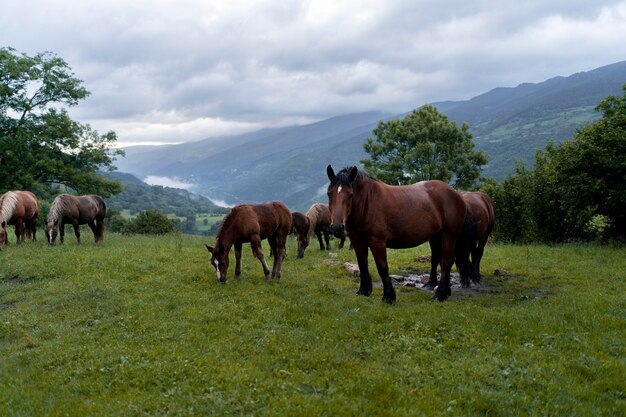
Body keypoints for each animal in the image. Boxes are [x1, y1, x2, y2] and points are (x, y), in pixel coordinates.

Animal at [326, 165, 468, 302]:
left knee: (447, 262)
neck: (367, 203)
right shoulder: (357, 241)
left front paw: (388, 296)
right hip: (437, 236)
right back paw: (446, 292)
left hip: (449, 235)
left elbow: (382, 268)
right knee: (444, 261)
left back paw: (440, 294)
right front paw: (364, 290)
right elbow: (362, 265)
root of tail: (456, 193)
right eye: (329, 194)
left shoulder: (377, 242)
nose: (337, 227)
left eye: (350, 194)